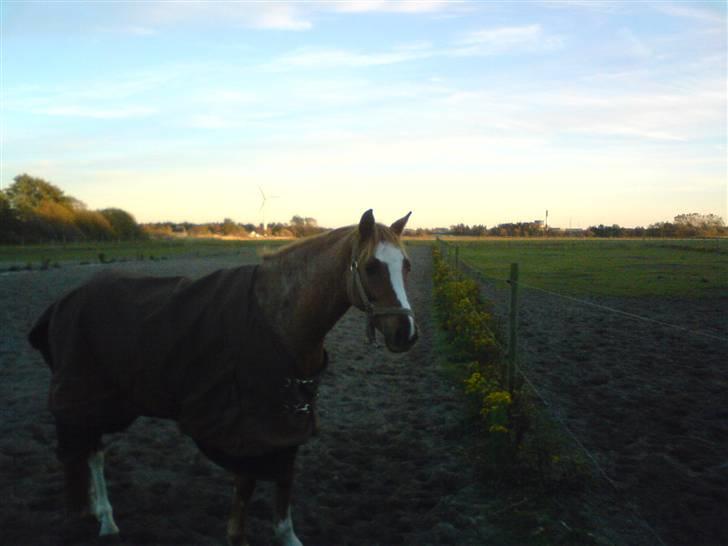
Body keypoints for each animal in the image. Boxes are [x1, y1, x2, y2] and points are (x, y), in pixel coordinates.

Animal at [28, 209, 418, 544]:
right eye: (371, 266)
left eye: (407, 266)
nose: (407, 333)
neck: (279, 319)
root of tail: (67, 299)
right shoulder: (246, 428)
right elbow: (244, 493)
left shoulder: (287, 424)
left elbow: (284, 487)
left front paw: (287, 536)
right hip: (87, 395)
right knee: (91, 452)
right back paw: (107, 520)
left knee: (90, 449)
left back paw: (97, 512)